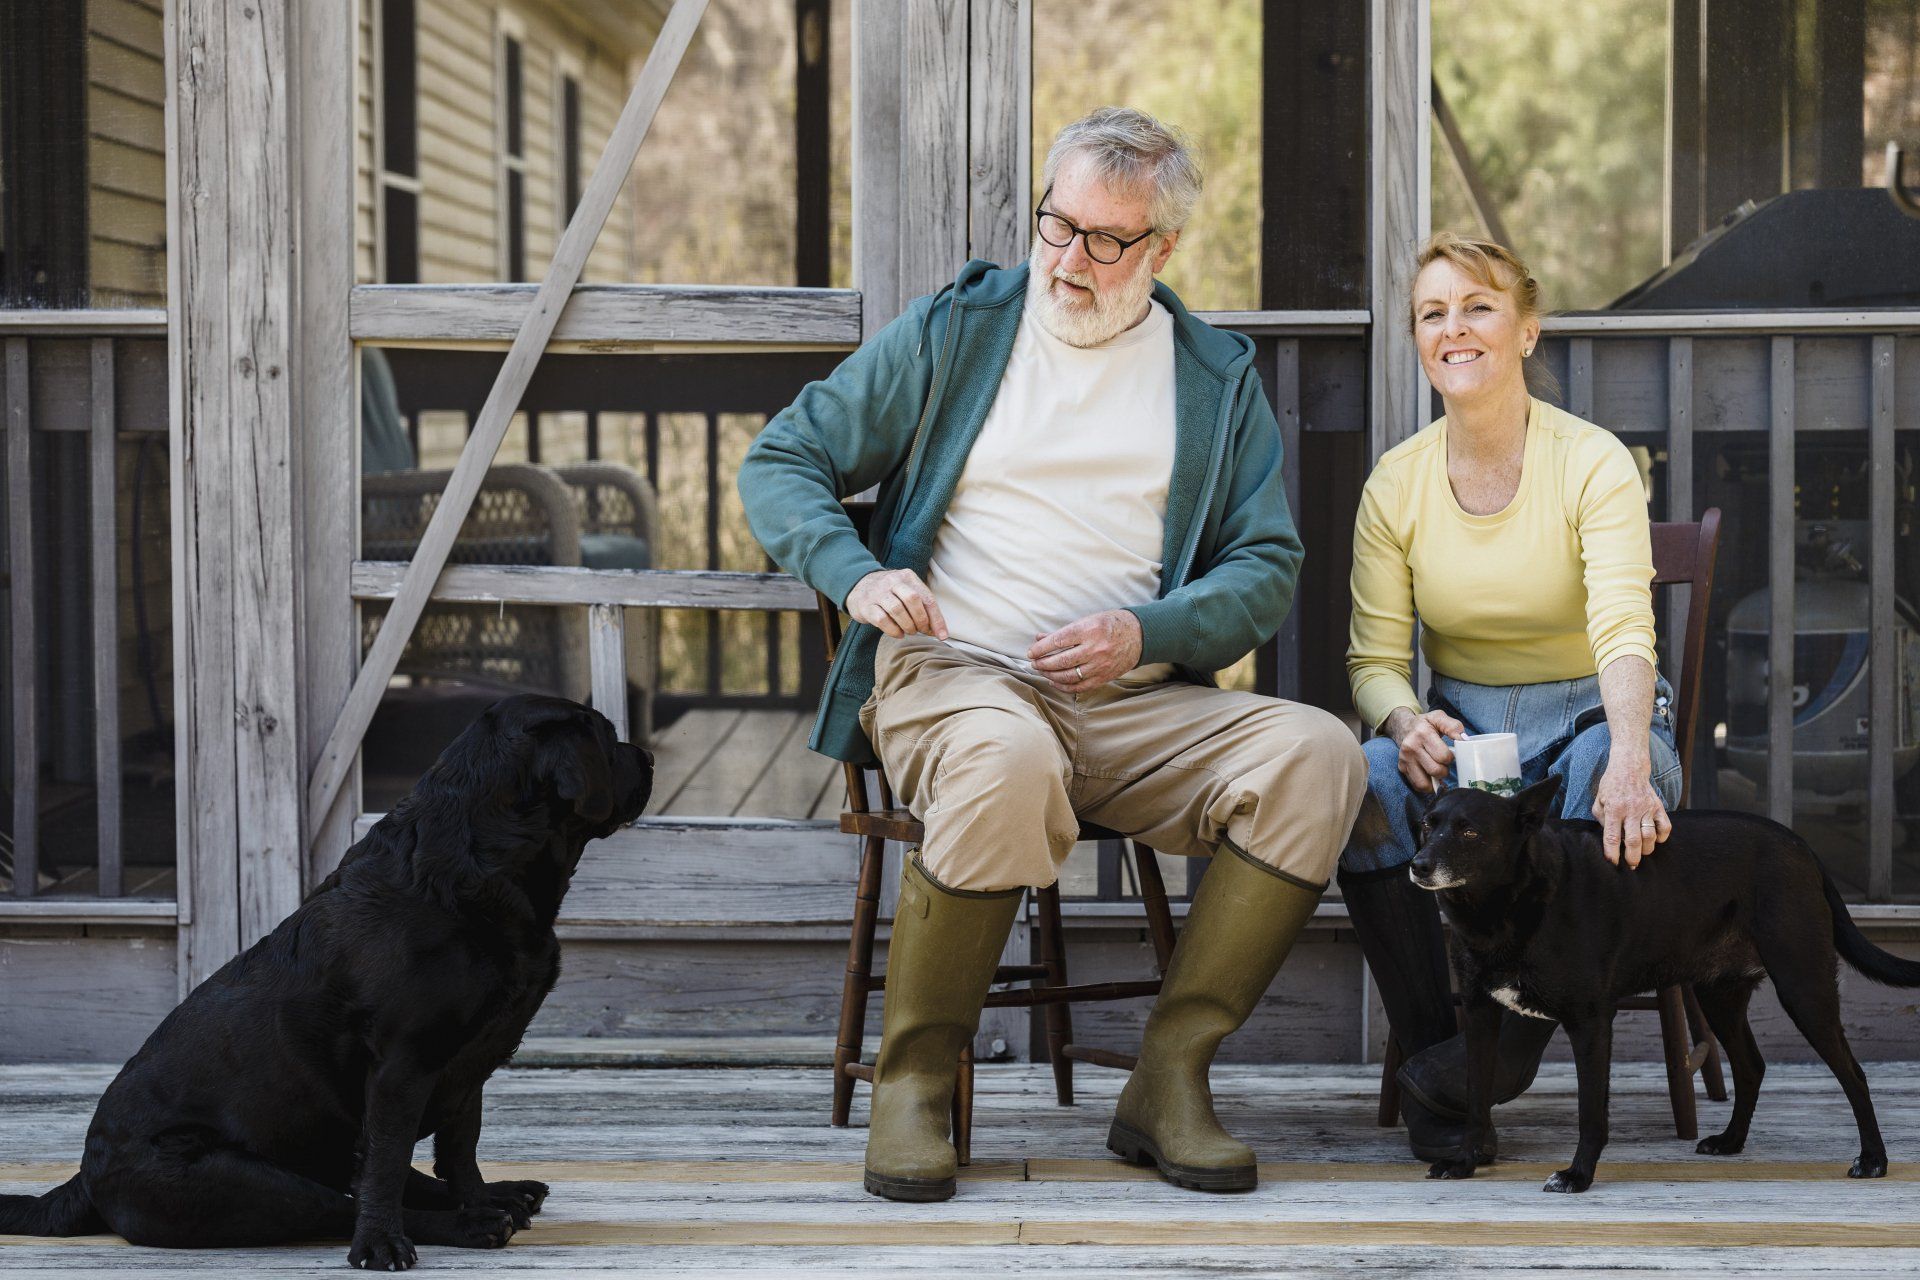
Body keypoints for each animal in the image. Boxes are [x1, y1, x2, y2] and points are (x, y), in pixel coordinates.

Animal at [0, 702, 652, 1274]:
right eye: (606, 738)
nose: (645, 754)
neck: (479, 864)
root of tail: (85, 1177)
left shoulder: (470, 1063)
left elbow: (459, 1150)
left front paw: (477, 1193)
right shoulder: (403, 1063)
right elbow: (387, 1164)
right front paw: (386, 1244)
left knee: (370, 1176)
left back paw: (503, 1196)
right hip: (243, 1181)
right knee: (340, 1201)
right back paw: (466, 1224)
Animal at [1413, 775, 1920, 1197]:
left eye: (1470, 833)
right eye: (1426, 826)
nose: (1418, 866)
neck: (1501, 909)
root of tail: (1802, 846)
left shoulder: (1590, 1022)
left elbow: (1590, 1111)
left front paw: (1578, 1175)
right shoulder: (1480, 1014)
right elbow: (1477, 1096)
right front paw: (1464, 1162)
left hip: (1803, 986)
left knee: (1853, 1073)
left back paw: (1874, 1159)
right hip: (1719, 995)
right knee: (1751, 1067)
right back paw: (1731, 1140)